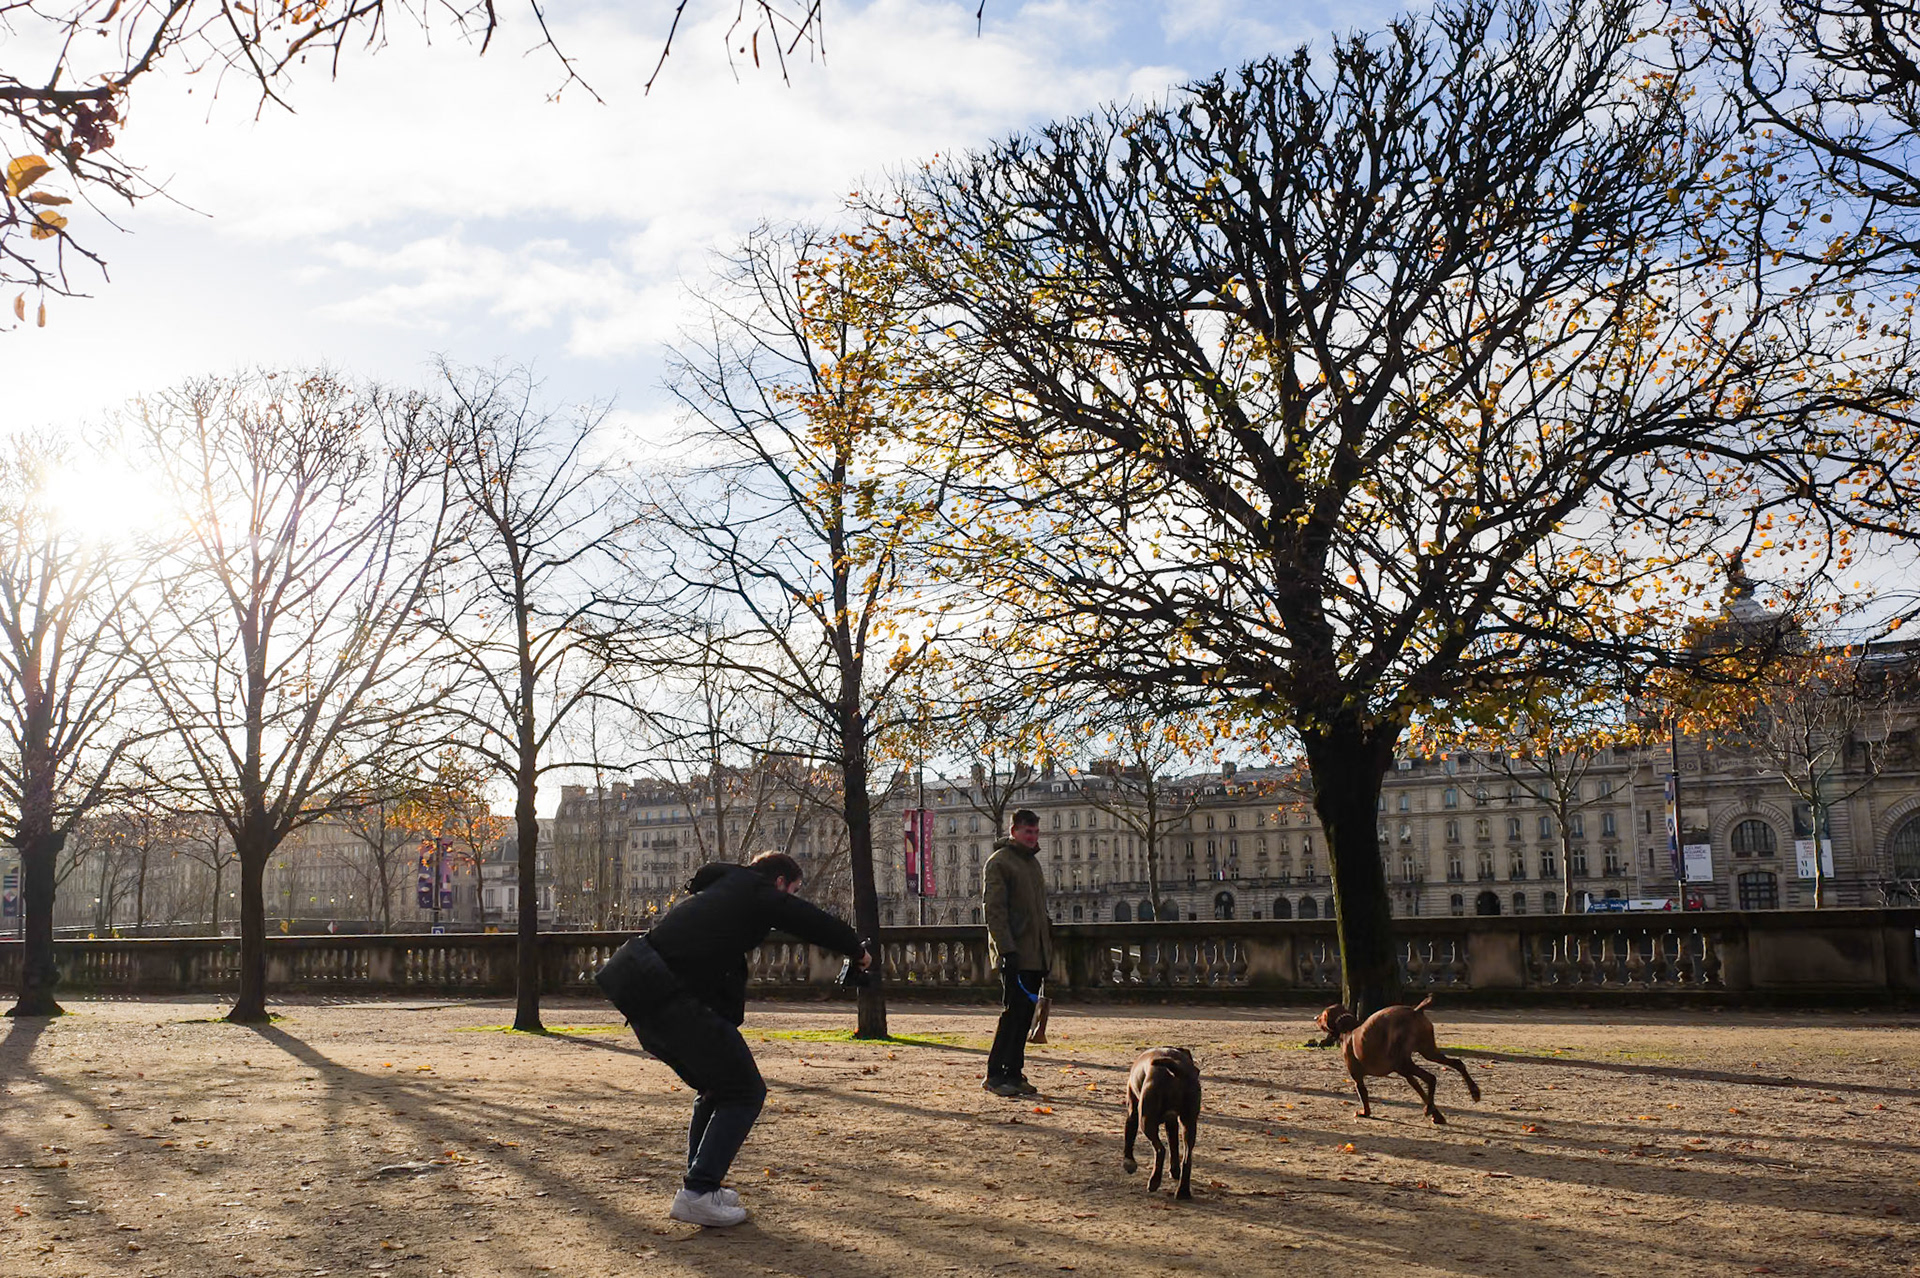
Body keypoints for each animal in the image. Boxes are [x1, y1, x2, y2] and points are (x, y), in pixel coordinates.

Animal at [1123, 1047, 1201, 1199]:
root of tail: (1177, 1071)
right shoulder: (1172, 1122)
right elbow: (1174, 1146)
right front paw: (1174, 1171)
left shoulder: (1133, 1112)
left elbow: (1129, 1137)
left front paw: (1129, 1163)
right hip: (1189, 1124)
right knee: (1186, 1159)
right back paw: (1182, 1192)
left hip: (1146, 1121)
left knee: (1160, 1149)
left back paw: (1154, 1182)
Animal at [1313, 996, 1481, 1124]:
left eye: (1321, 1015)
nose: (1315, 1018)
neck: (1348, 1029)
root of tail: (1415, 1011)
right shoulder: (1407, 1075)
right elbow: (1422, 1093)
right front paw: (1436, 1115)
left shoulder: (1358, 1077)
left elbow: (1363, 1095)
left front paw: (1365, 1113)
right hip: (1427, 1052)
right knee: (1457, 1063)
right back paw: (1474, 1092)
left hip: (1406, 1061)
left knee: (1431, 1078)